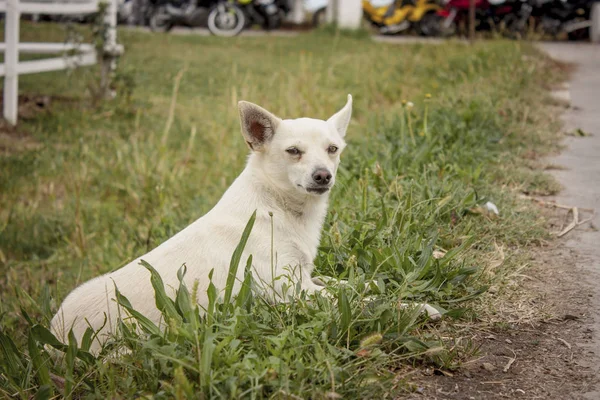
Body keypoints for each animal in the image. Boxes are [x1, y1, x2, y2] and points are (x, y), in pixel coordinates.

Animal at [51, 94, 354, 354]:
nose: (323, 176)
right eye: (293, 151)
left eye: (333, 149)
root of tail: (52, 336)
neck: (278, 206)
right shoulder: (292, 290)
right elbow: (343, 294)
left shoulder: (305, 277)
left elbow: (345, 284)